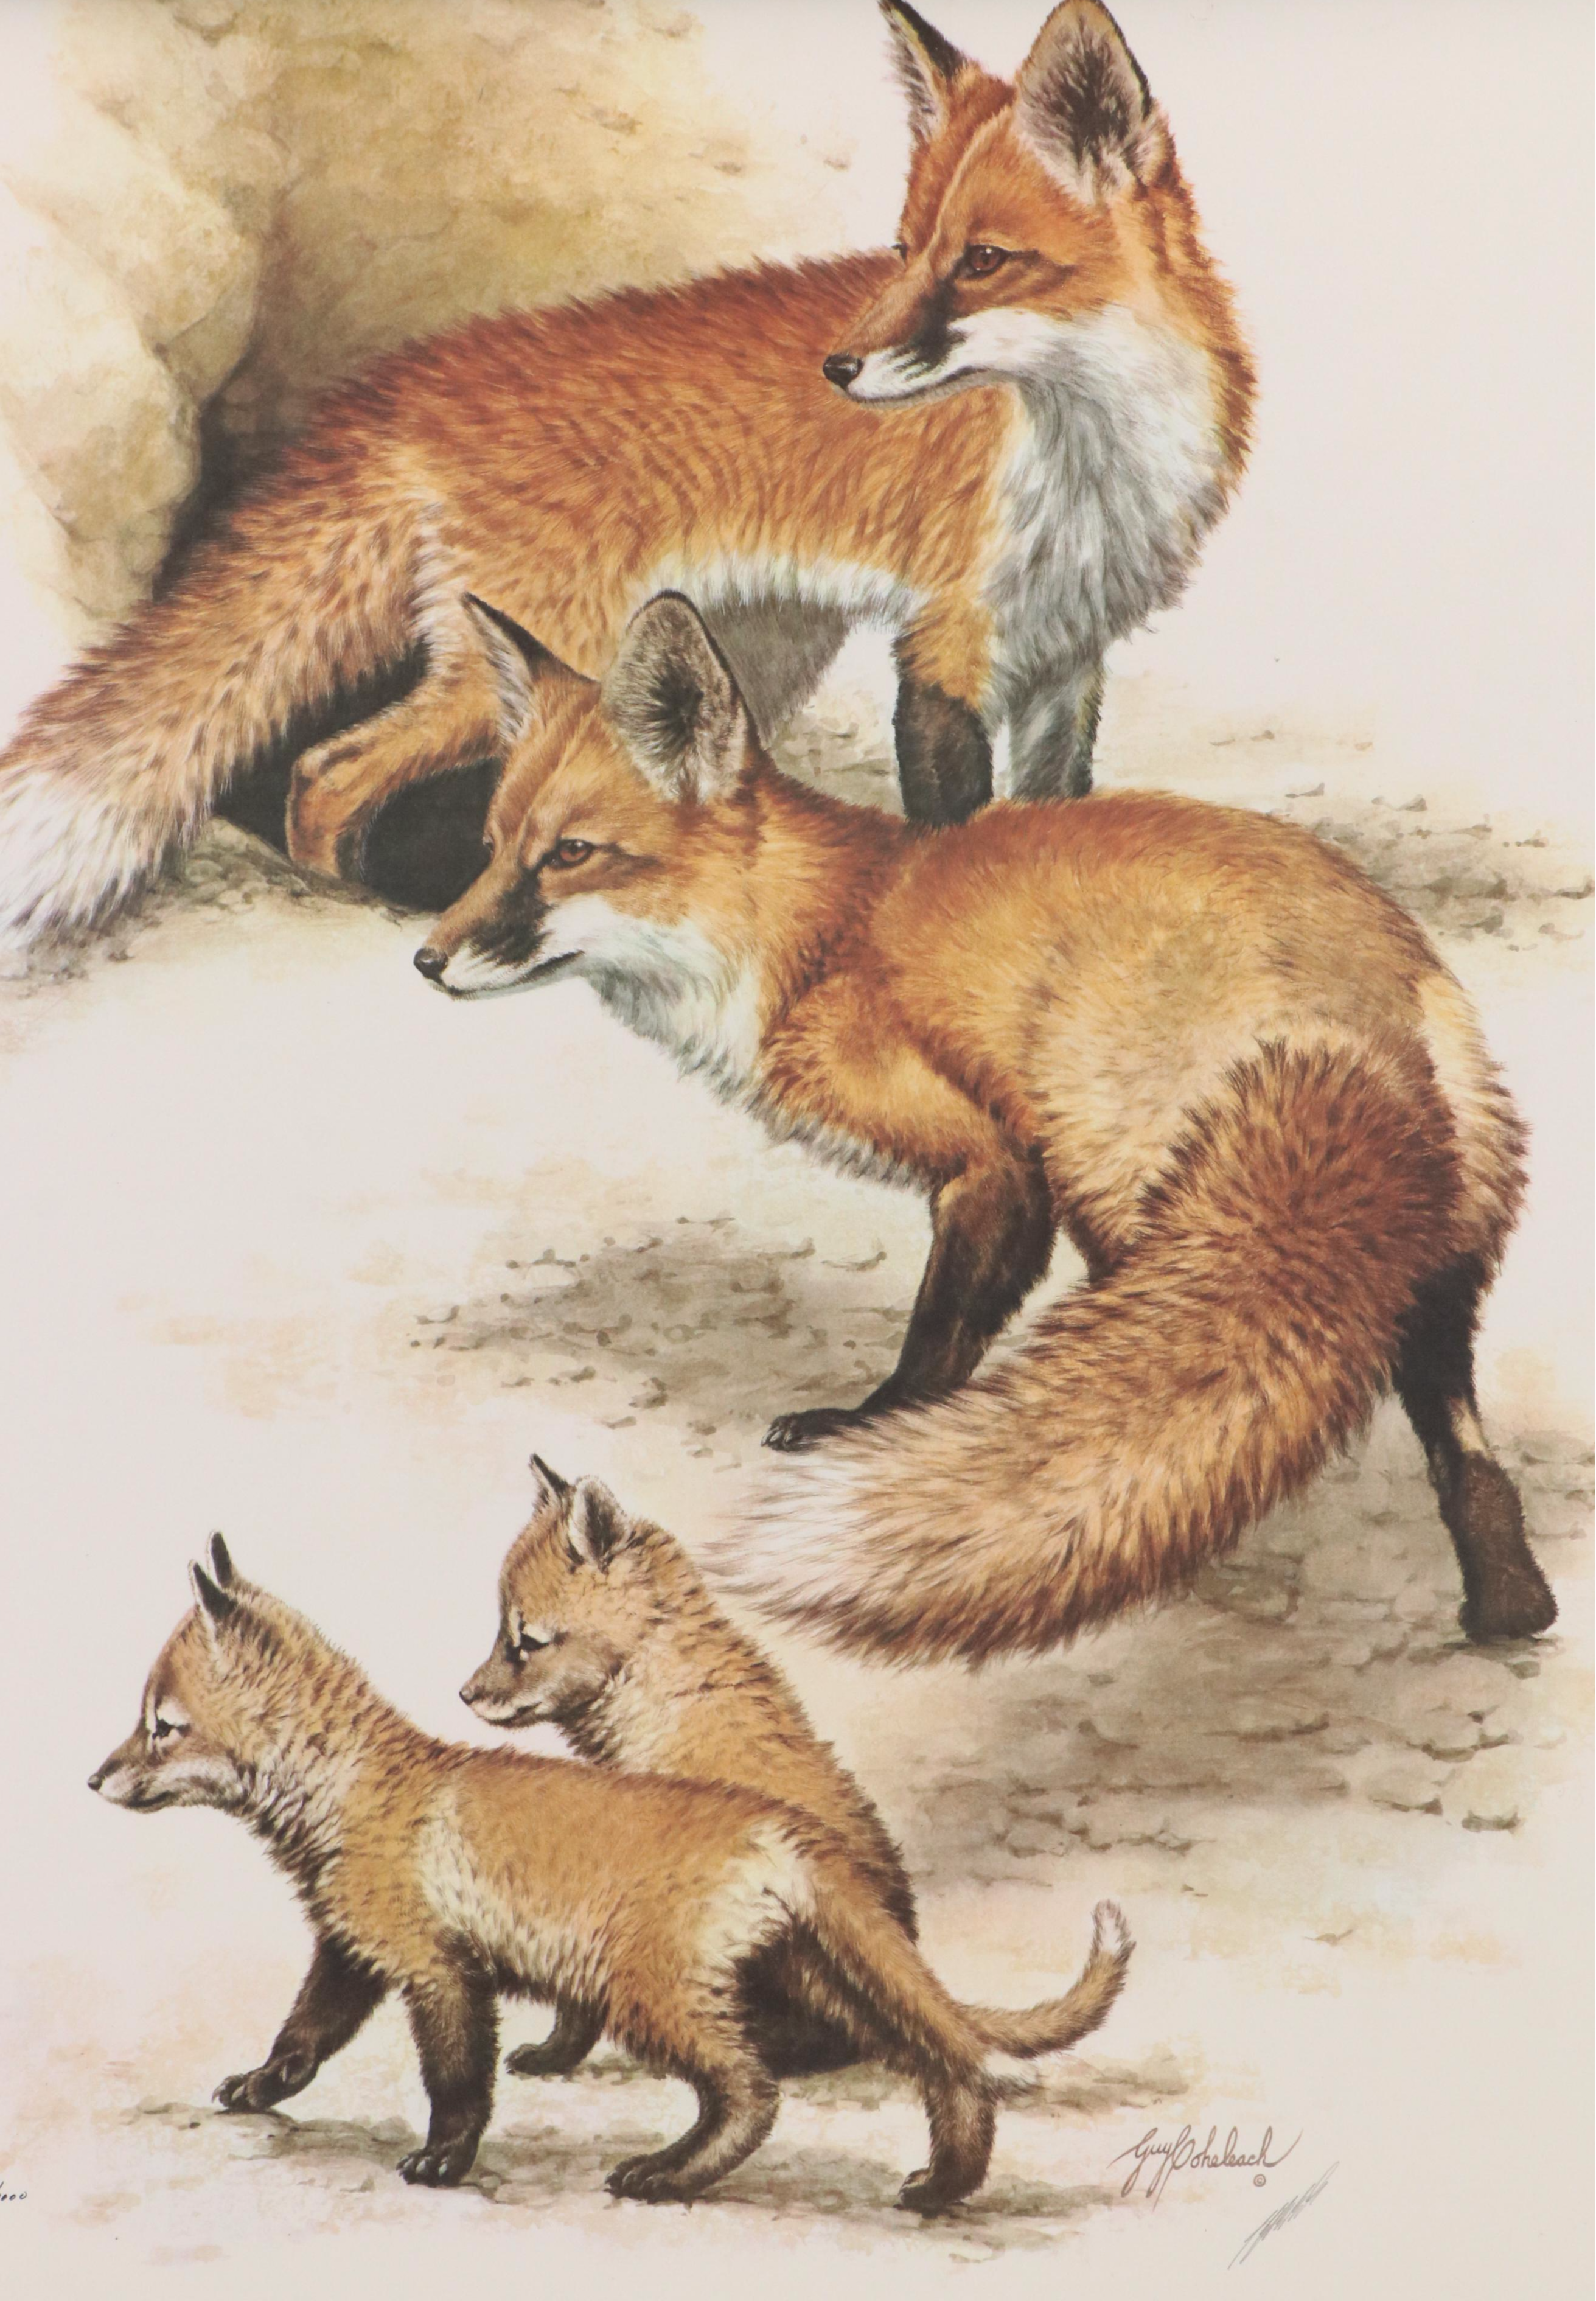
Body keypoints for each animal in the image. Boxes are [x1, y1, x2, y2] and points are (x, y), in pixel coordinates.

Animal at [0, 0, 1252, 944]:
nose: (838, 367)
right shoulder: (944, 647)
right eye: (903, 252)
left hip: (726, 648)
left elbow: (1052, 809)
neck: (1093, 461)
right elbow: (951, 827)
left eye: (982, 261)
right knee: (324, 770)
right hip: (530, 654)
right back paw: (366, 904)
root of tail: (407, 378)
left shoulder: (1064, 655)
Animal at [89, 1537, 1127, 2210]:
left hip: (651, 1995)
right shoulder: (353, 1949)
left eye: (162, 1725)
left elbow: (456, 2085)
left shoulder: (437, 1969)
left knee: (754, 2093)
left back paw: (665, 2174)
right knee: (947, 2067)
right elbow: (300, 2039)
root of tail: (780, 1826)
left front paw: (442, 2163)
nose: (93, 1780)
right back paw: (941, 2187)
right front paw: (254, 2090)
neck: (354, 1795)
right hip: (815, 1977)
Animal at [412, 586, 1559, 1667]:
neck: (811, 941)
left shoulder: (995, 1160)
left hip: (1116, 1182)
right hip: (1435, 1255)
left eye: (570, 854)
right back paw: (1507, 1609)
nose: (426, 960)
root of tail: (1361, 1010)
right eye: (489, 848)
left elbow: (938, 1337)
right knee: (1463, 1454)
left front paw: (873, 1429)